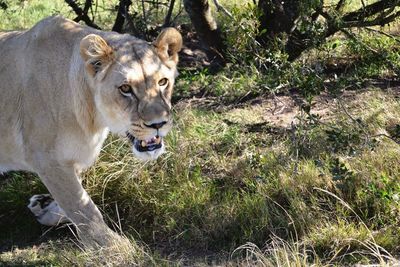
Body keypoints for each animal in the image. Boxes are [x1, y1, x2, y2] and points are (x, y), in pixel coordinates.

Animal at [0, 15, 181, 248]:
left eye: (163, 82)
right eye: (125, 89)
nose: (158, 124)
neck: (93, 118)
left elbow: (72, 201)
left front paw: (44, 206)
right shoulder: (47, 159)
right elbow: (83, 206)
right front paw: (115, 247)